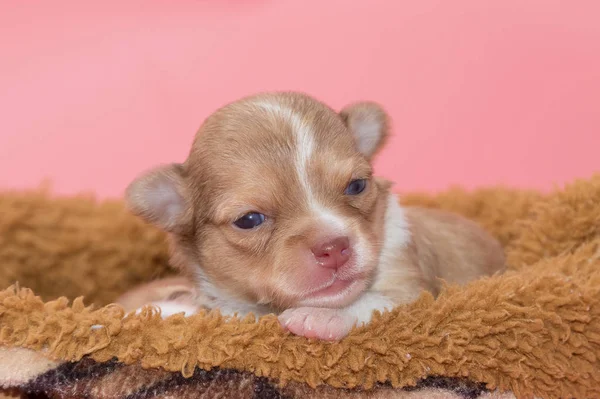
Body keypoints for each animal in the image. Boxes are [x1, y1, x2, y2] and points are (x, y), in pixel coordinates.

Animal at [119, 93, 504, 340]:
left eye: (356, 186)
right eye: (249, 220)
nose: (334, 248)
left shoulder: (409, 289)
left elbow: (368, 303)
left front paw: (321, 317)